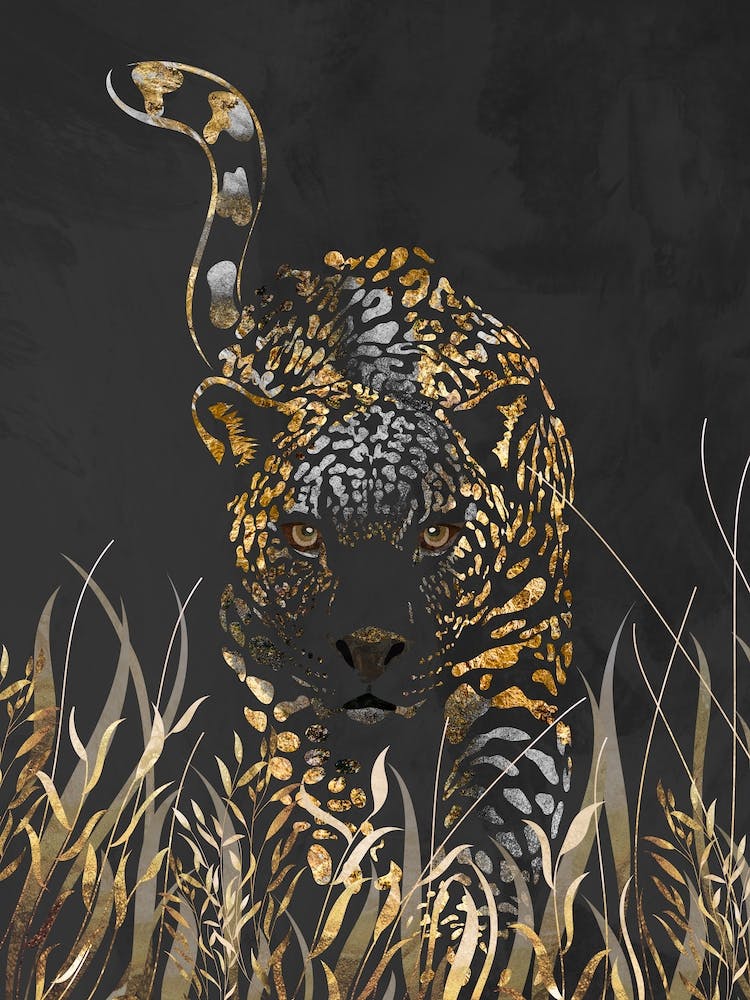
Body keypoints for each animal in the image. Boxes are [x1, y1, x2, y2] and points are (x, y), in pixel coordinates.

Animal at [108, 60, 576, 929]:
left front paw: (466, 919)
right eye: (303, 535)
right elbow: (313, 804)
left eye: (436, 534)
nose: (368, 648)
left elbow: (504, 810)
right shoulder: (283, 680)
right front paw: (345, 909)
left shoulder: (520, 659)